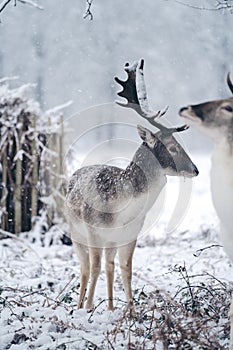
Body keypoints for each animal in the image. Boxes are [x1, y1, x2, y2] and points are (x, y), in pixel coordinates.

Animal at [66, 58, 198, 310]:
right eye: (172, 146)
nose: (195, 169)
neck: (122, 210)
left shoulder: (131, 234)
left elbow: (126, 268)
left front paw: (131, 310)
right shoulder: (94, 230)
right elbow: (94, 267)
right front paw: (88, 308)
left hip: (109, 240)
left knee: (109, 265)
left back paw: (109, 307)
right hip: (75, 232)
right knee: (86, 267)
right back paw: (79, 306)